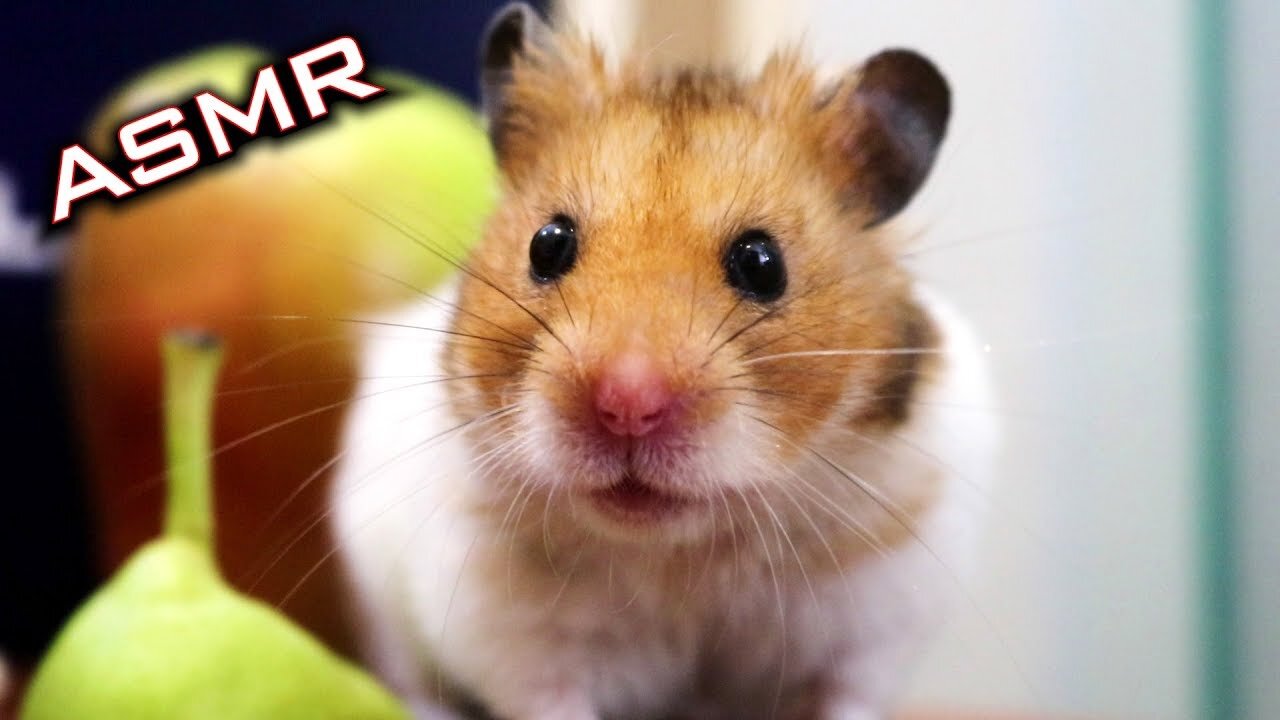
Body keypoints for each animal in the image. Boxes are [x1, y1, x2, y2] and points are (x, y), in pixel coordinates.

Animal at [331, 3, 996, 719]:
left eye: (763, 263)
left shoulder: (874, 625)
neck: (681, 549)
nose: (627, 406)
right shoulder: (515, 635)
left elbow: (844, 699)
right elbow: (550, 701)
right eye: (547, 244)